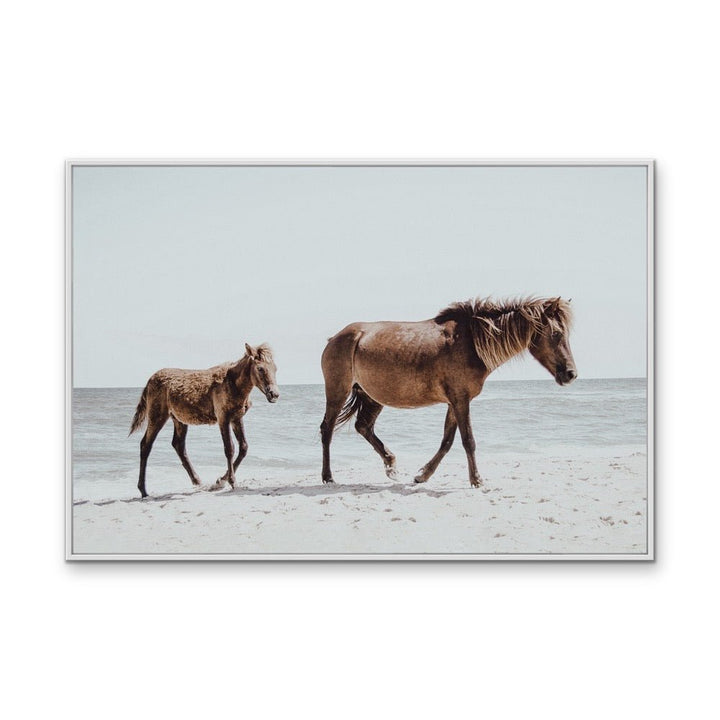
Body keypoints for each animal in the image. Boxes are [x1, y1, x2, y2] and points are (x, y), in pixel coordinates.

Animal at [129, 343, 279, 498]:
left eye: (275, 368)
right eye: (260, 368)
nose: (274, 394)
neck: (233, 384)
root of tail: (149, 381)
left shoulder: (236, 418)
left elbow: (243, 447)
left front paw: (220, 481)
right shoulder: (223, 418)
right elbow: (229, 448)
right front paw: (230, 482)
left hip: (179, 419)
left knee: (178, 445)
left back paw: (197, 481)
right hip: (157, 416)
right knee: (145, 445)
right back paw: (143, 490)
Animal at [320, 297, 576, 488]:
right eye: (556, 333)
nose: (571, 374)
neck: (471, 343)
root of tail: (336, 337)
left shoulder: (455, 402)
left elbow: (447, 441)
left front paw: (422, 475)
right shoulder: (461, 400)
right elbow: (468, 440)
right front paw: (476, 480)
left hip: (372, 396)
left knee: (363, 426)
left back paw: (391, 465)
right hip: (338, 391)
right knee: (327, 429)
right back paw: (328, 476)